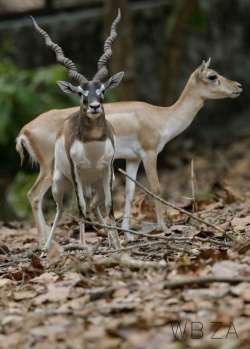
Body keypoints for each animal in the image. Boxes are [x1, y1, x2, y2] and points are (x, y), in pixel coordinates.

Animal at [16, 57, 242, 242]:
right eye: (212, 76)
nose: (238, 86)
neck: (161, 117)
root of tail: (24, 130)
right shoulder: (150, 153)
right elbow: (156, 188)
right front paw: (164, 228)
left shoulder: (133, 159)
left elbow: (130, 192)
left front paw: (128, 234)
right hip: (50, 168)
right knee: (34, 195)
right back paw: (45, 243)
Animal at [24, 12, 124, 247]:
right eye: (80, 93)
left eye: (102, 90)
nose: (95, 107)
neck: (93, 143)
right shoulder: (76, 172)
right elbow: (79, 209)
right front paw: (84, 245)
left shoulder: (107, 170)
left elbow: (109, 207)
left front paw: (117, 245)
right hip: (58, 183)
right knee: (60, 210)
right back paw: (47, 246)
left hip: (97, 183)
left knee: (94, 205)